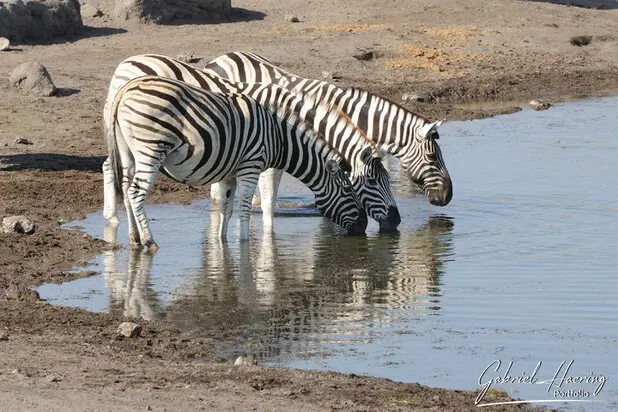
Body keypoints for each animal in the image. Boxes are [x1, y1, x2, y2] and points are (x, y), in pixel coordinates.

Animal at [102, 54, 400, 233]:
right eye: (371, 182)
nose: (397, 220)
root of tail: (127, 62)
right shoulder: (262, 159)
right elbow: (266, 199)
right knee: (111, 169)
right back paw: (114, 219)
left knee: (114, 170)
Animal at [107, 76, 366, 253]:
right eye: (347, 189)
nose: (363, 227)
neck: (278, 137)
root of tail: (126, 88)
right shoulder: (250, 166)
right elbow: (244, 208)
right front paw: (244, 244)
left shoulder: (228, 172)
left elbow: (226, 208)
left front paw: (222, 243)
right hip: (150, 148)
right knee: (136, 193)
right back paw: (149, 241)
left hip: (128, 153)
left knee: (127, 190)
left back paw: (134, 238)